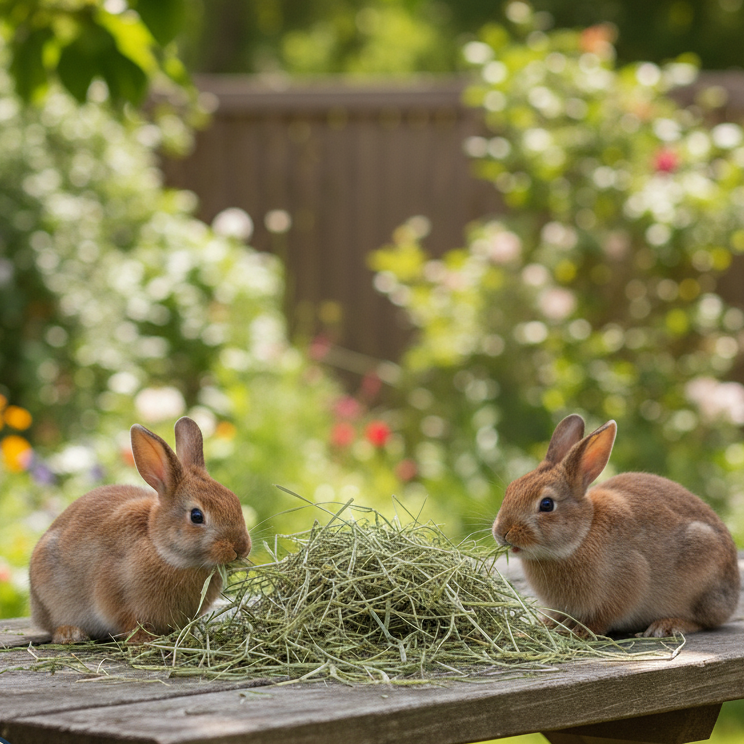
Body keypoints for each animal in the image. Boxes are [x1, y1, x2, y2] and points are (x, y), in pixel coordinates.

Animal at [29, 416, 251, 644]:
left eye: (234, 500)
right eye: (196, 516)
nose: (241, 548)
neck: (158, 546)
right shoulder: (116, 595)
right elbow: (130, 622)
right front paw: (143, 640)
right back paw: (70, 634)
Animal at [492, 414, 740, 638]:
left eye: (546, 504)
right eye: (510, 489)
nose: (501, 532)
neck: (582, 533)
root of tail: (733, 590)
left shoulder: (627, 578)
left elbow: (603, 618)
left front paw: (580, 632)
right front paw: (544, 625)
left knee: (706, 621)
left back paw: (666, 626)